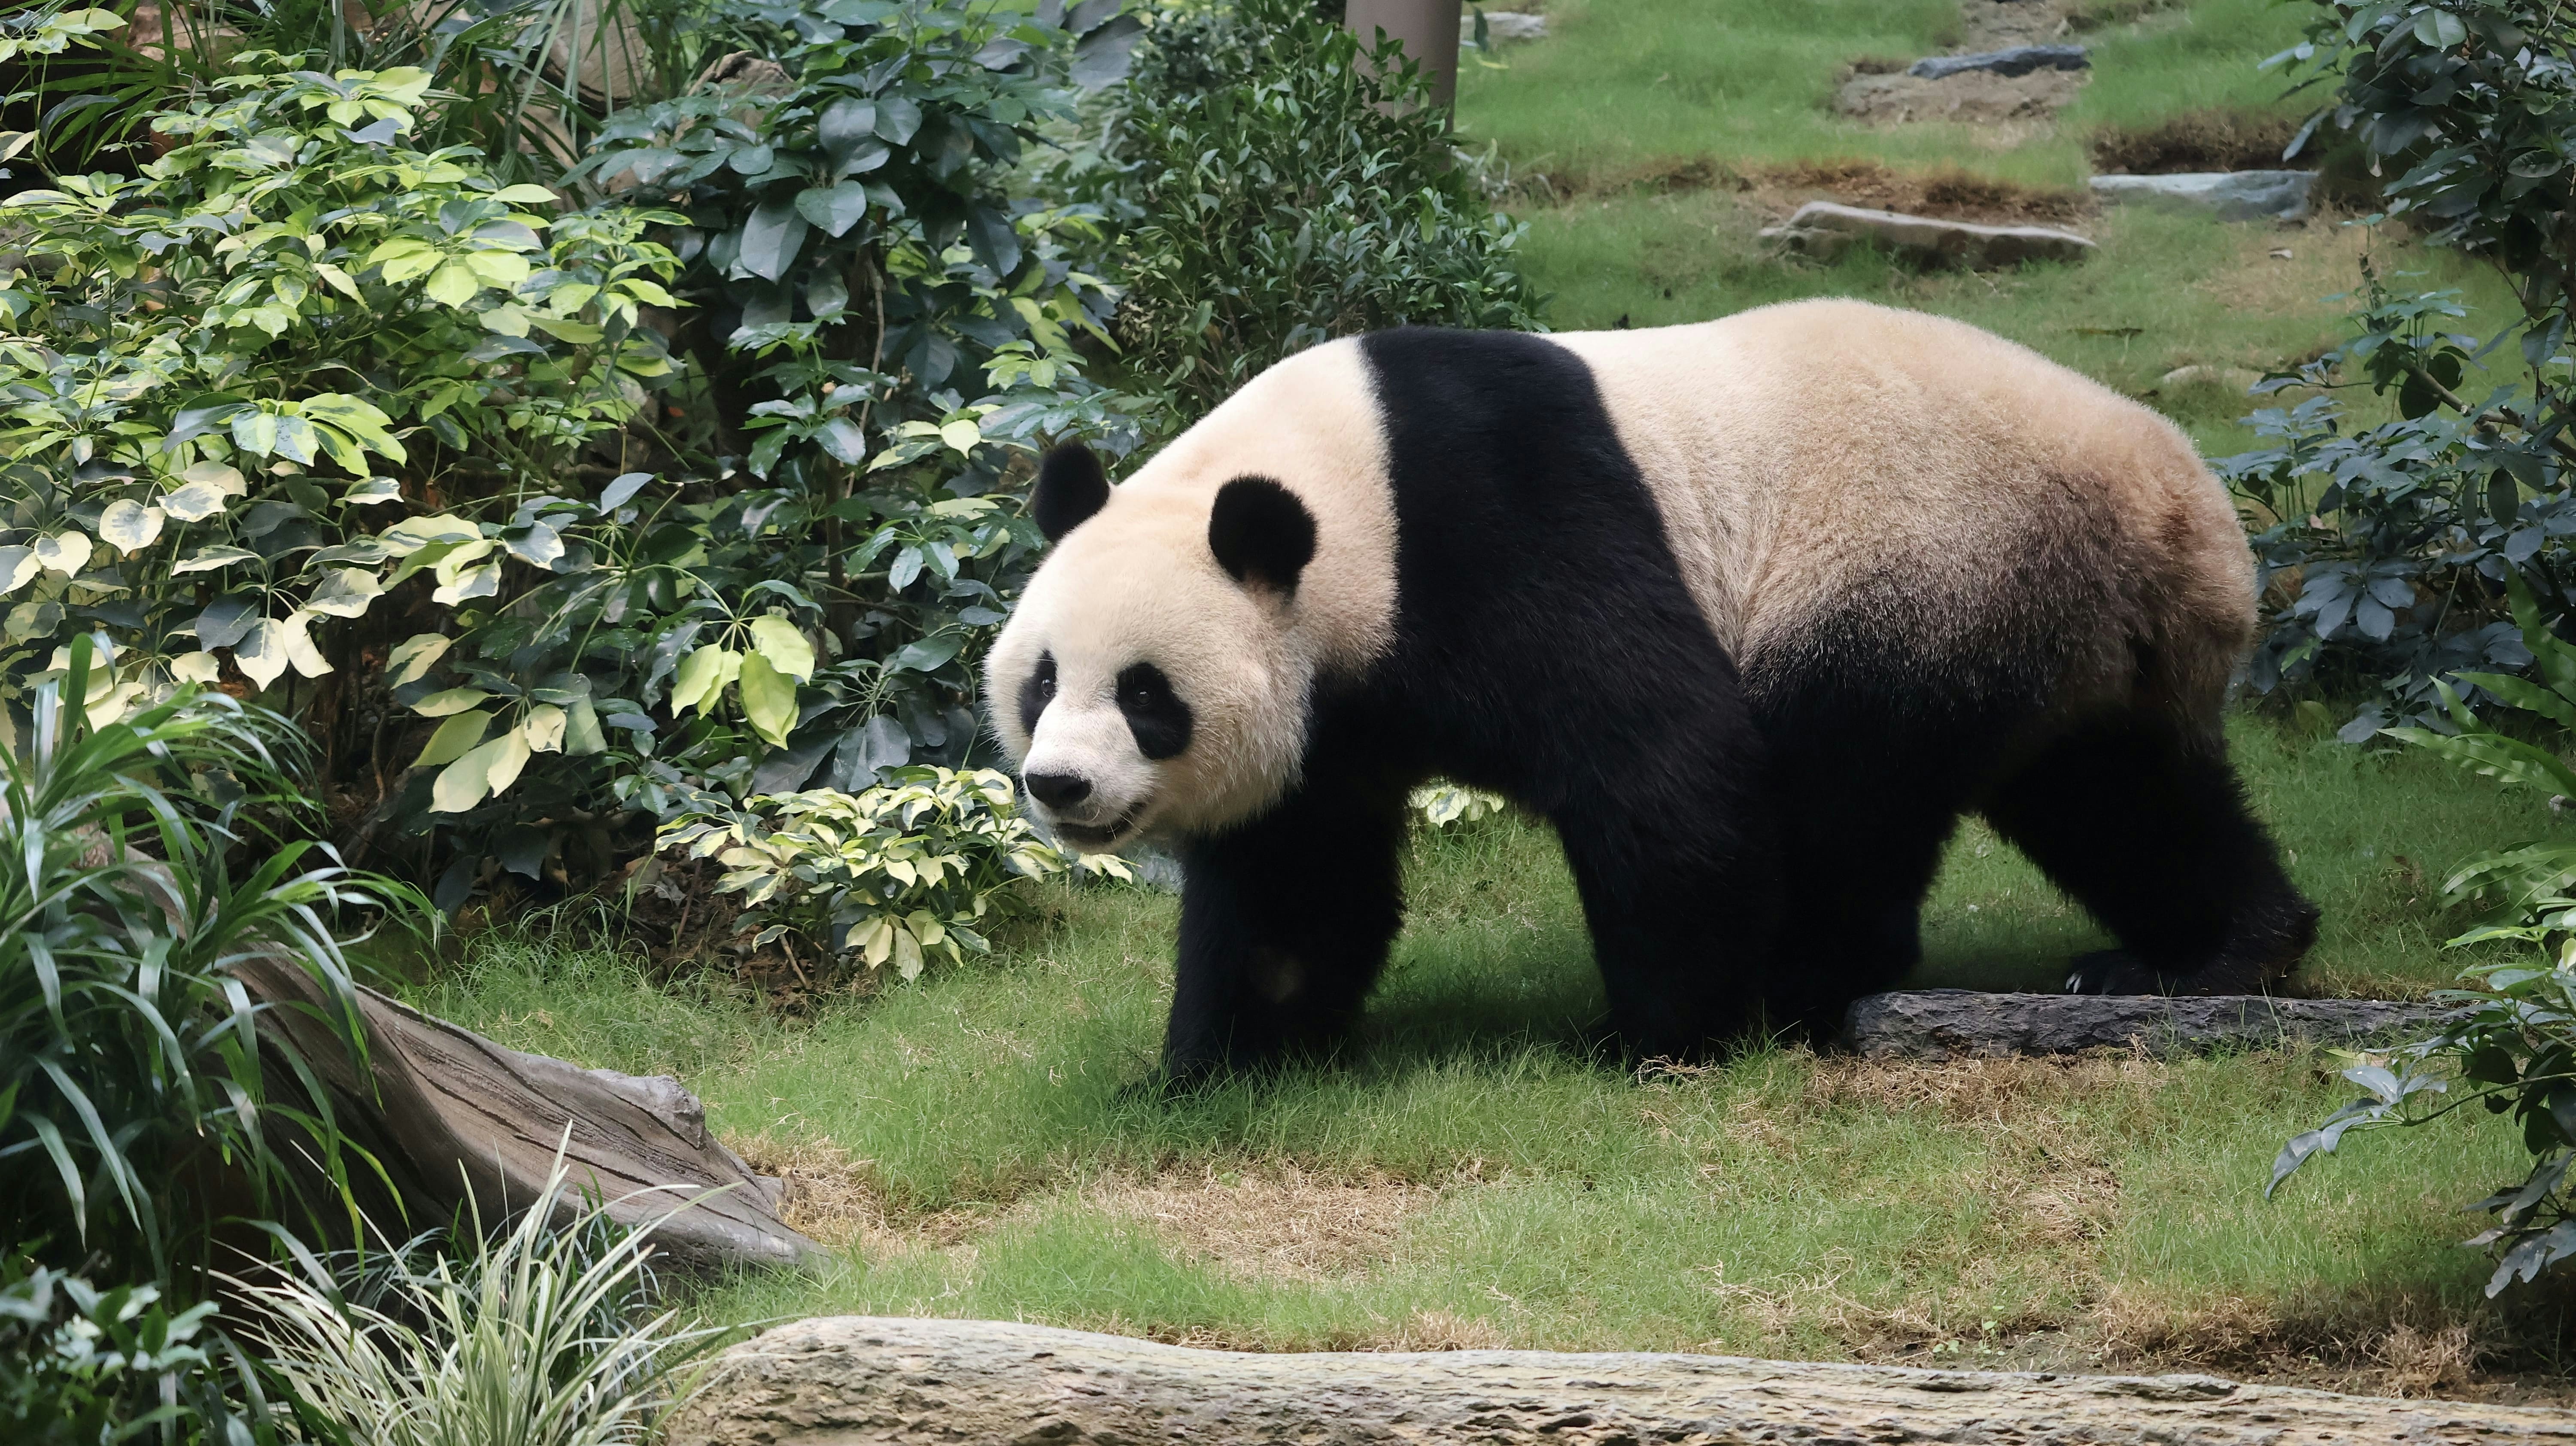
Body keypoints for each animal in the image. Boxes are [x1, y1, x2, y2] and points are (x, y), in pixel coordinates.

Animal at [979, 299, 2318, 1077]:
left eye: (1146, 694)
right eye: (1043, 681)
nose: (1060, 786)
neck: (1347, 488)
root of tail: (2198, 532)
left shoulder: (1496, 520)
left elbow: (1663, 759)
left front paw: (1655, 1037)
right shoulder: (1334, 705)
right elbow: (1296, 876)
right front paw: (1223, 1062)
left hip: (1931, 560)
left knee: (1848, 778)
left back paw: (1808, 990)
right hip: (2068, 626)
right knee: (2116, 793)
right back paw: (2210, 956)